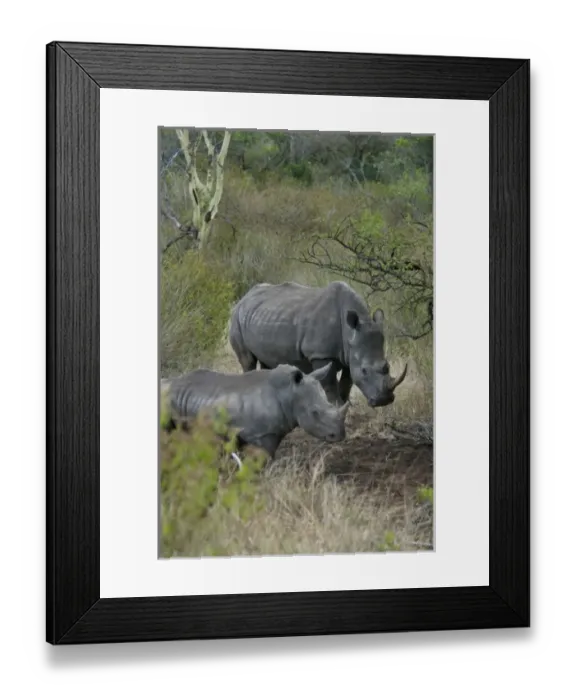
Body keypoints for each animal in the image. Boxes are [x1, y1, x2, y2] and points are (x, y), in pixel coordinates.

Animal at [229, 280, 408, 408]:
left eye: (387, 366)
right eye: (365, 370)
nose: (384, 401)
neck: (351, 332)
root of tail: (244, 297)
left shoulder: (350, 353)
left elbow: (347, 381)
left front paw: (347, 404)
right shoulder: (320, 354)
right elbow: (329, 382)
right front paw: (336, 405)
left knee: (267, 361)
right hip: (236, 318)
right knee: (248, 361)